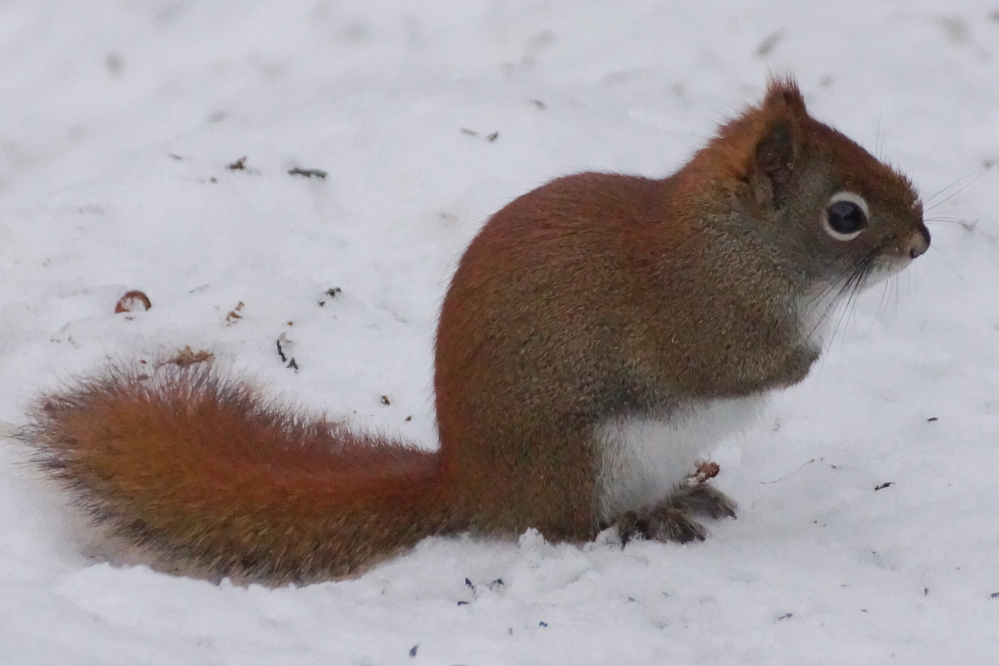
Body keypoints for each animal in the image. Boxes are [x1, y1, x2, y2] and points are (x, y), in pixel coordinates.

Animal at [27, 78, 930, 584]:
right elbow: (733, 365)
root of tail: (468, 483)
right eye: (843, 216)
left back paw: (680, 497)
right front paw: (807, 358)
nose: (922, 242)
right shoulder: (695, 318)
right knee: (565, 527)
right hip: (583, 458)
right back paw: (637, 524)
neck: (735, 244)